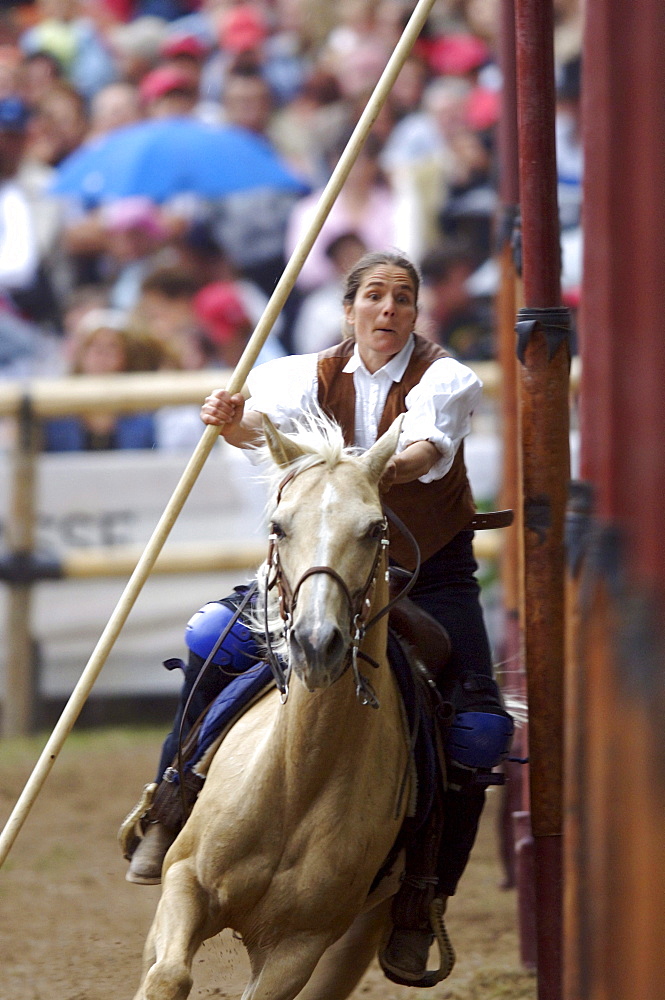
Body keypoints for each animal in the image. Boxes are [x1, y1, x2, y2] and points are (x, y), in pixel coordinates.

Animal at [133, 410, 412, 996]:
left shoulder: (298, 947)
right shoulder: (184, 882)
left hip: (360, 934)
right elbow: (167, 976)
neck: (296, 784)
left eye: (376, 529)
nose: (316, 641)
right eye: (280, 526)